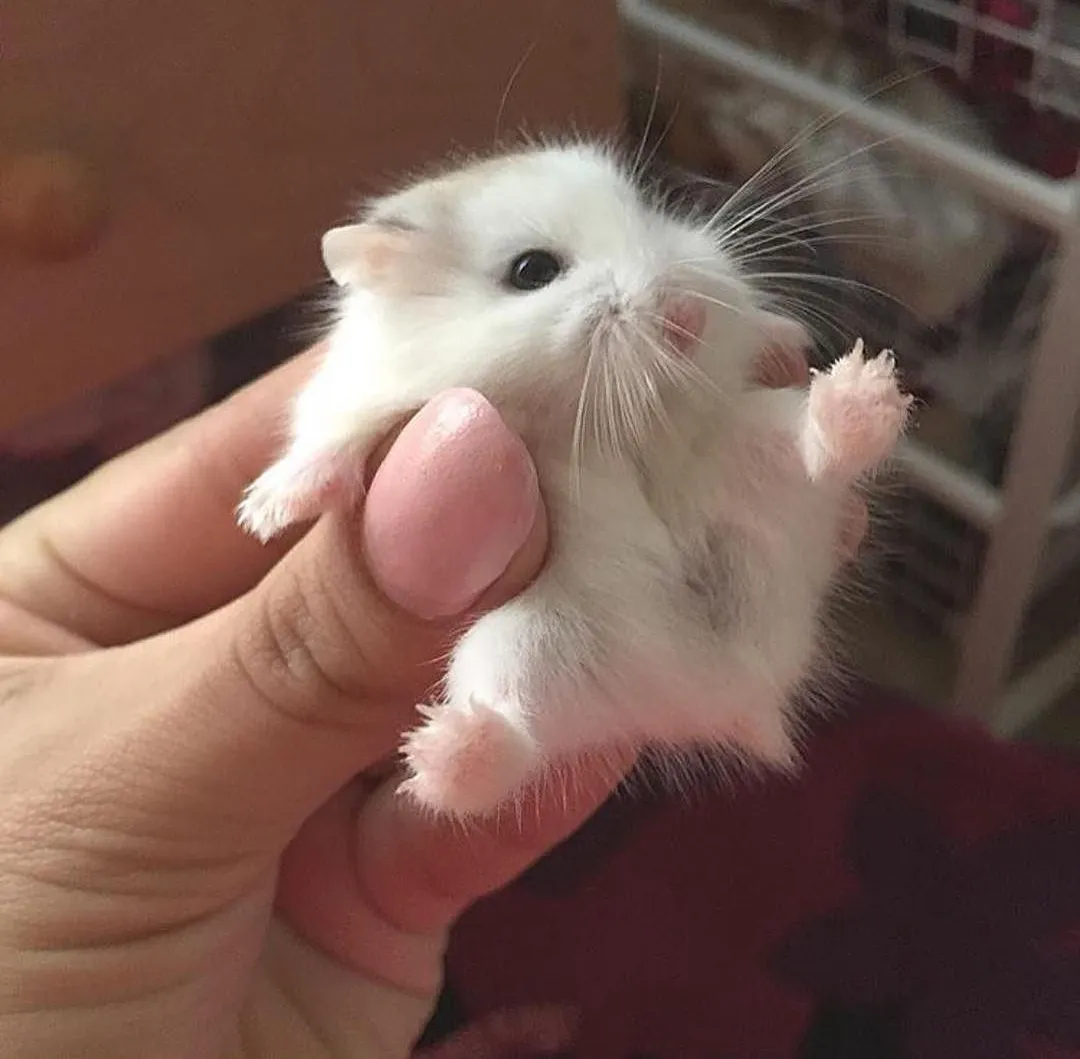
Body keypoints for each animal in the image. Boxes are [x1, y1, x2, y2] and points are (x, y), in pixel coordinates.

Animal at [237, 140, 912, 817]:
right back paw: (443, 750)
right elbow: (329, 443)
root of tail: (729, 692)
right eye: (532, 271)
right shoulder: (360, 399)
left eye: (647, 213)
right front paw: (264, 515)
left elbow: (752, 325)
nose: (687, 317)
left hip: (749, 449)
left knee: (812, 451)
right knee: (510, 739)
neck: (590, 415)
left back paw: (864, 392)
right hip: (531, 641)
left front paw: (785, 336)